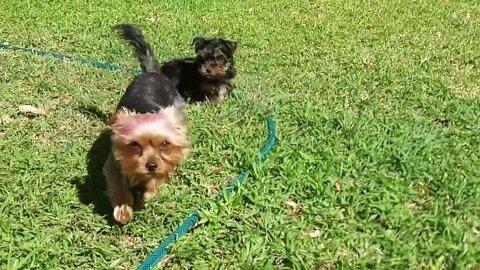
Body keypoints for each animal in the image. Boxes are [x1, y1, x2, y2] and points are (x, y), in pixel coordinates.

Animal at [104, 24, 190, 225]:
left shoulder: (165, 164)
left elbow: (160, 176)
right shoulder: (113, 161)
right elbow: (117, 182)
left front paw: (148, 193)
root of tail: (151, 72)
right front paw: (123, 209)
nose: (151, 166)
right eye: (134, 145)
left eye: (165, 144)